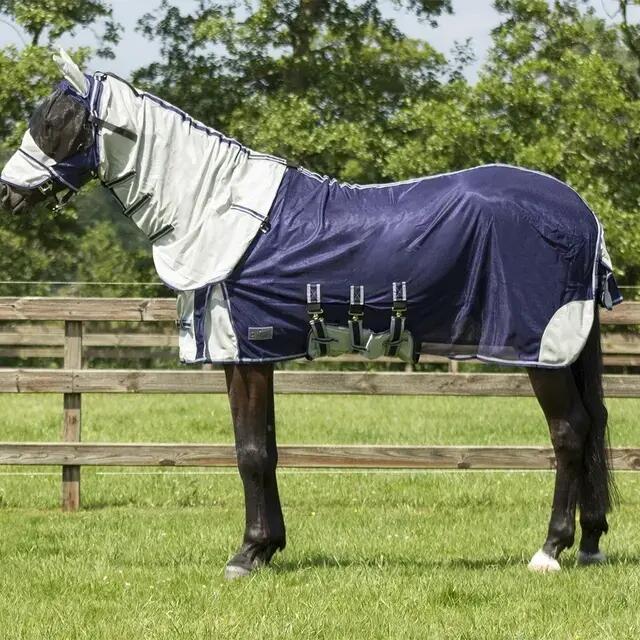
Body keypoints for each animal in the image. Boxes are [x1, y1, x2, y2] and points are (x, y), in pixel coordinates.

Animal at [0, 49, 621, 579]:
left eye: (56, 121)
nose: (8, 193)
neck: (219, 210)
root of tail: (582, 214)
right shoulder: (255, 356)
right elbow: (267, 448)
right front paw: (267, 546)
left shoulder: (245, 351)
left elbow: (250, 452)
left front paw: (246, 555)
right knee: (591, 427)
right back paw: (590, 543)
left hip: (542, 349)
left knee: (570, 432)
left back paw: (550, 550)